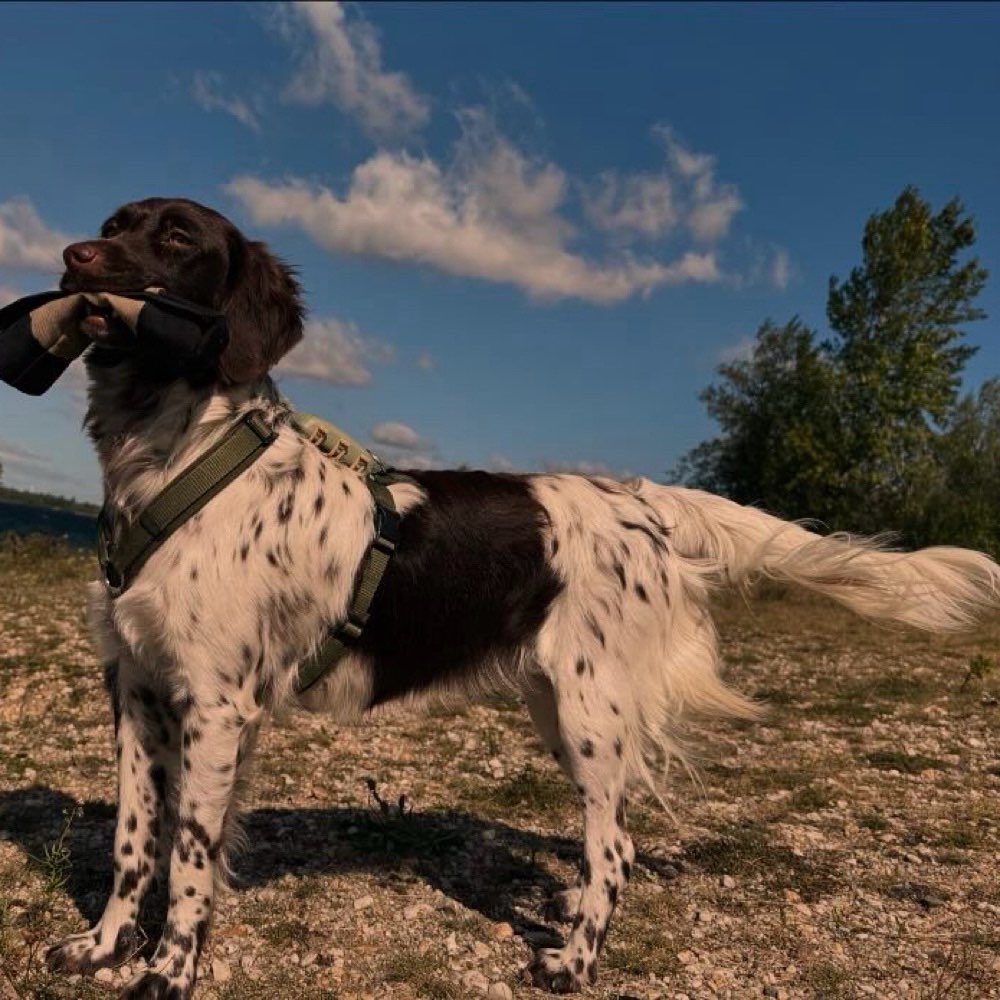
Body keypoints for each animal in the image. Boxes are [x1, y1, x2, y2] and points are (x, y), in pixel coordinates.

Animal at [39, 197, 1000, 1000]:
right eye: (112, 222)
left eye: (176, 238)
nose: (72, 256)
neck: (174, 459)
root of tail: (641, 498)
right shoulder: (137, 692)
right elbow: (134, 842)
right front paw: (103, 946)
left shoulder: (215, 707)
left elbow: (188, 861)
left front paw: (167, 974)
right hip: (556, 704)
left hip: (589, 713)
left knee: (615, 846)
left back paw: (573, 963)